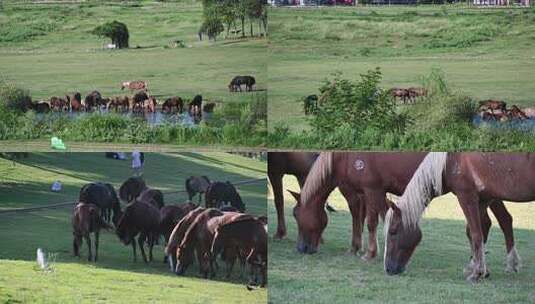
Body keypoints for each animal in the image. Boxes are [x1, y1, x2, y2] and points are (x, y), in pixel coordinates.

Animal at [296, 152, 516, 262]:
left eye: (297, 217)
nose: (301, 248)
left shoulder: (371, 190)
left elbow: (371, 221)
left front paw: (369, 253)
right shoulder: (372, 193)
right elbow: (375, 217)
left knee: (499, 221)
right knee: (490, 222)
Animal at [386, 153, 532, 284]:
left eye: (393, 232)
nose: (388, 269)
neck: (450, 162)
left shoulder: (467, 197)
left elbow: (476, 233)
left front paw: (477, 273)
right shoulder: (483, 199)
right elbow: (477, 231)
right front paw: (479, 268)